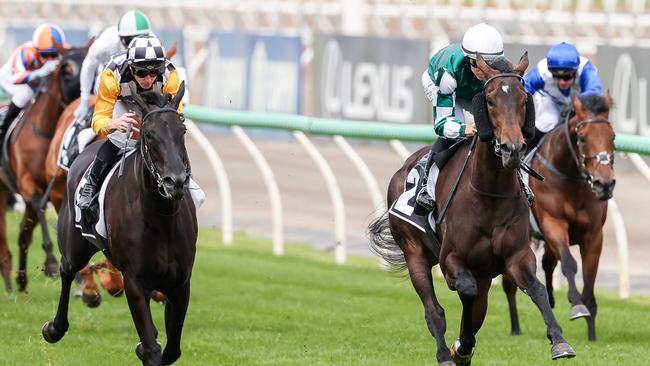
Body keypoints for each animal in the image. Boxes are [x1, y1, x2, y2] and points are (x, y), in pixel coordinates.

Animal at [0, 45, 87, 292]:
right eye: (66, 70)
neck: (45, 130)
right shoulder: (28, 184)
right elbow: (41, 206)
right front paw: (51, 263)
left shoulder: (52, 186)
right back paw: (8, 282)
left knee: (23, 235)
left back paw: (20, 282)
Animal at [41, 83, 196, 366]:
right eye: (149, 134)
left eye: (182, 130)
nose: (175, 182)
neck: (161, 219)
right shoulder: (134, 281)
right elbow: (153, 351)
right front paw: (146, 347)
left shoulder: (180, 284)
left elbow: (172, 350)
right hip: (74, 244)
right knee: (67, 269)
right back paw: (55, 328)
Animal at [368, 53, 576, 364]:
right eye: (489, 100)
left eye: (524, 99)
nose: (512, 148)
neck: (490, 195)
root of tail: (402, 169)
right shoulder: (451, 259)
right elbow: (466, 292)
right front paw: (461, 344)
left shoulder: (516, 255)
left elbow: (536, 290)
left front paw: (559, 341)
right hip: (414, 251)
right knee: (434, 311)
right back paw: (445, 353)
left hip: (483, 272)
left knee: (478, 305)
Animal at [504, 93, 616, 340]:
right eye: (582, 138)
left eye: (612, 136)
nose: (604, 184)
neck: (570, 177)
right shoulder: (553, 224)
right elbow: (569, 263)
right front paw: (577, 305)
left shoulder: (594, 234)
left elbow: (590, 275)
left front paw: (592, 333)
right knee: (510, 283)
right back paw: (515, 328)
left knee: (547, 262)